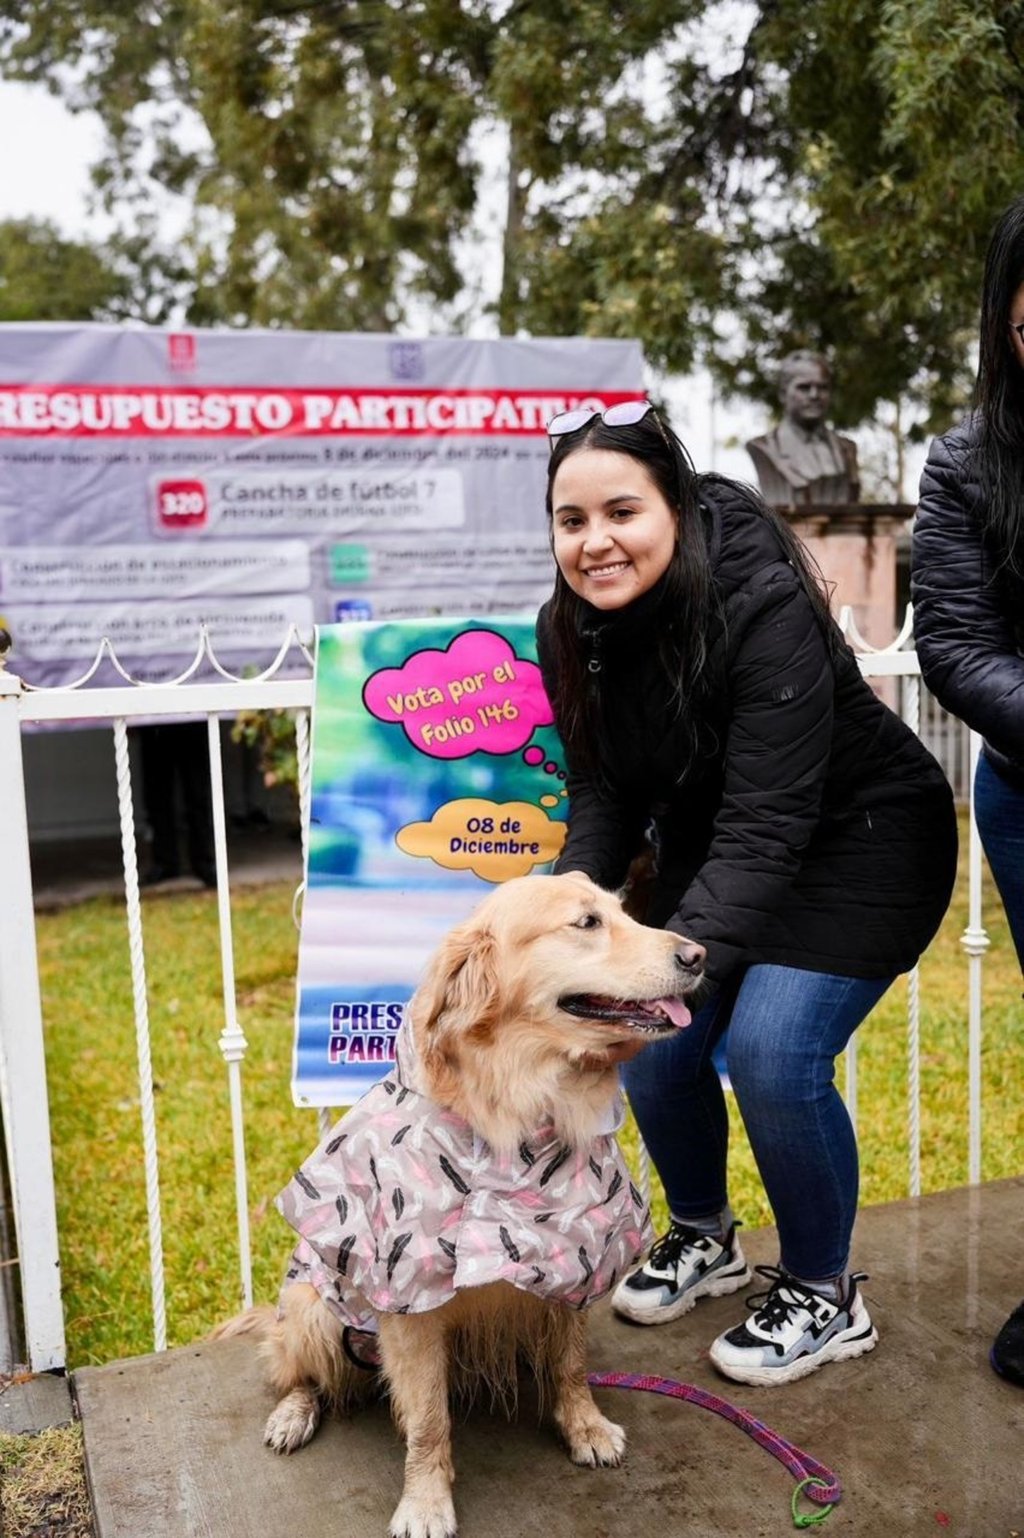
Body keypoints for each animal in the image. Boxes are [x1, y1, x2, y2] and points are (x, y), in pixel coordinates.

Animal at [216, 879, 701, 1538]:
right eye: (586, 923)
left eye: (624, 913)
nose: (698, 956)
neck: (523, 1111)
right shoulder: (408, 1299)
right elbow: (426, 1418)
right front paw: (425, 1500)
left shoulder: (577, 1256)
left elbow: (571, 1364)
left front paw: (585, 1426)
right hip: (312, 1305)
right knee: (297, 1373)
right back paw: (293, 1413)